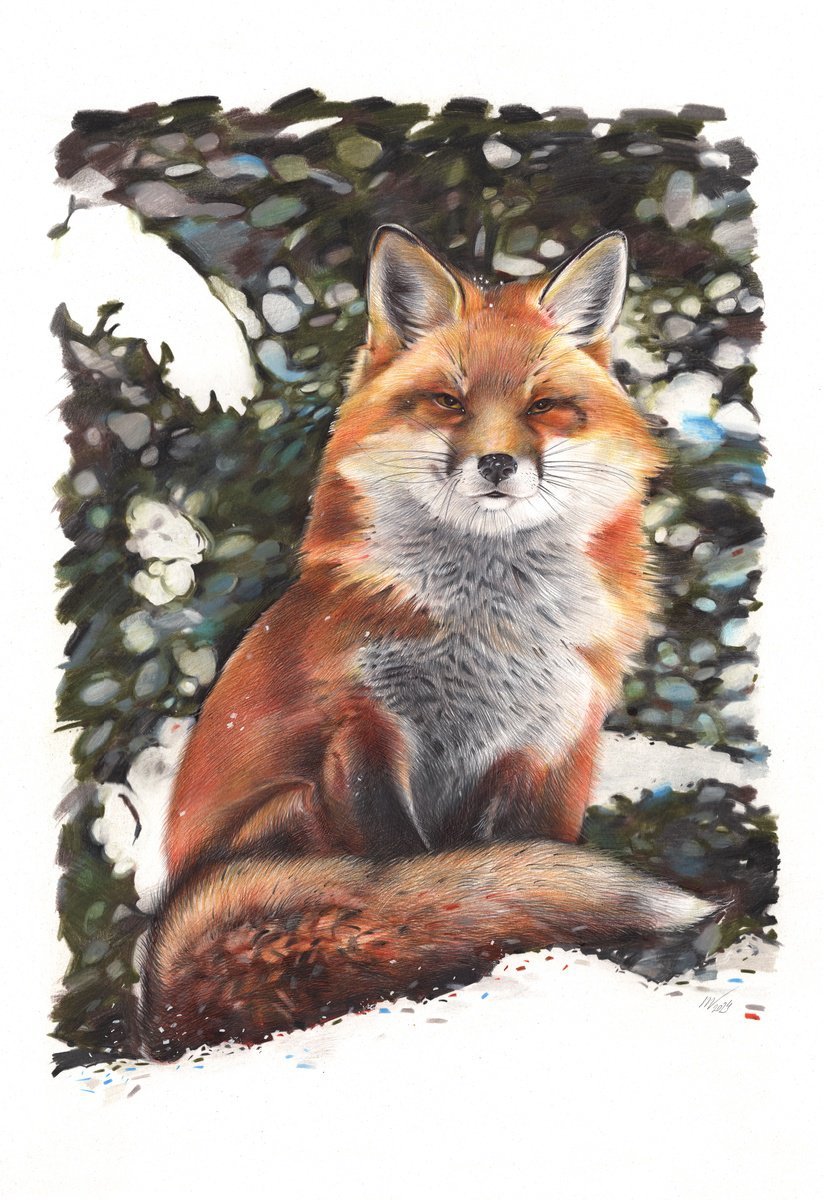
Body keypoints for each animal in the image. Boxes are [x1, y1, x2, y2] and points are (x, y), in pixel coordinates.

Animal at [141, 224, 717, 1060]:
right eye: (448, 401)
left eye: (544, 406)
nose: (497, 464)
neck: (489, 633)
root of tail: (161, 1016)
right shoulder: (362, 732)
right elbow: (412, 878)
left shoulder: (538, 748)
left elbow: (502, 859)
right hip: (291, 808)